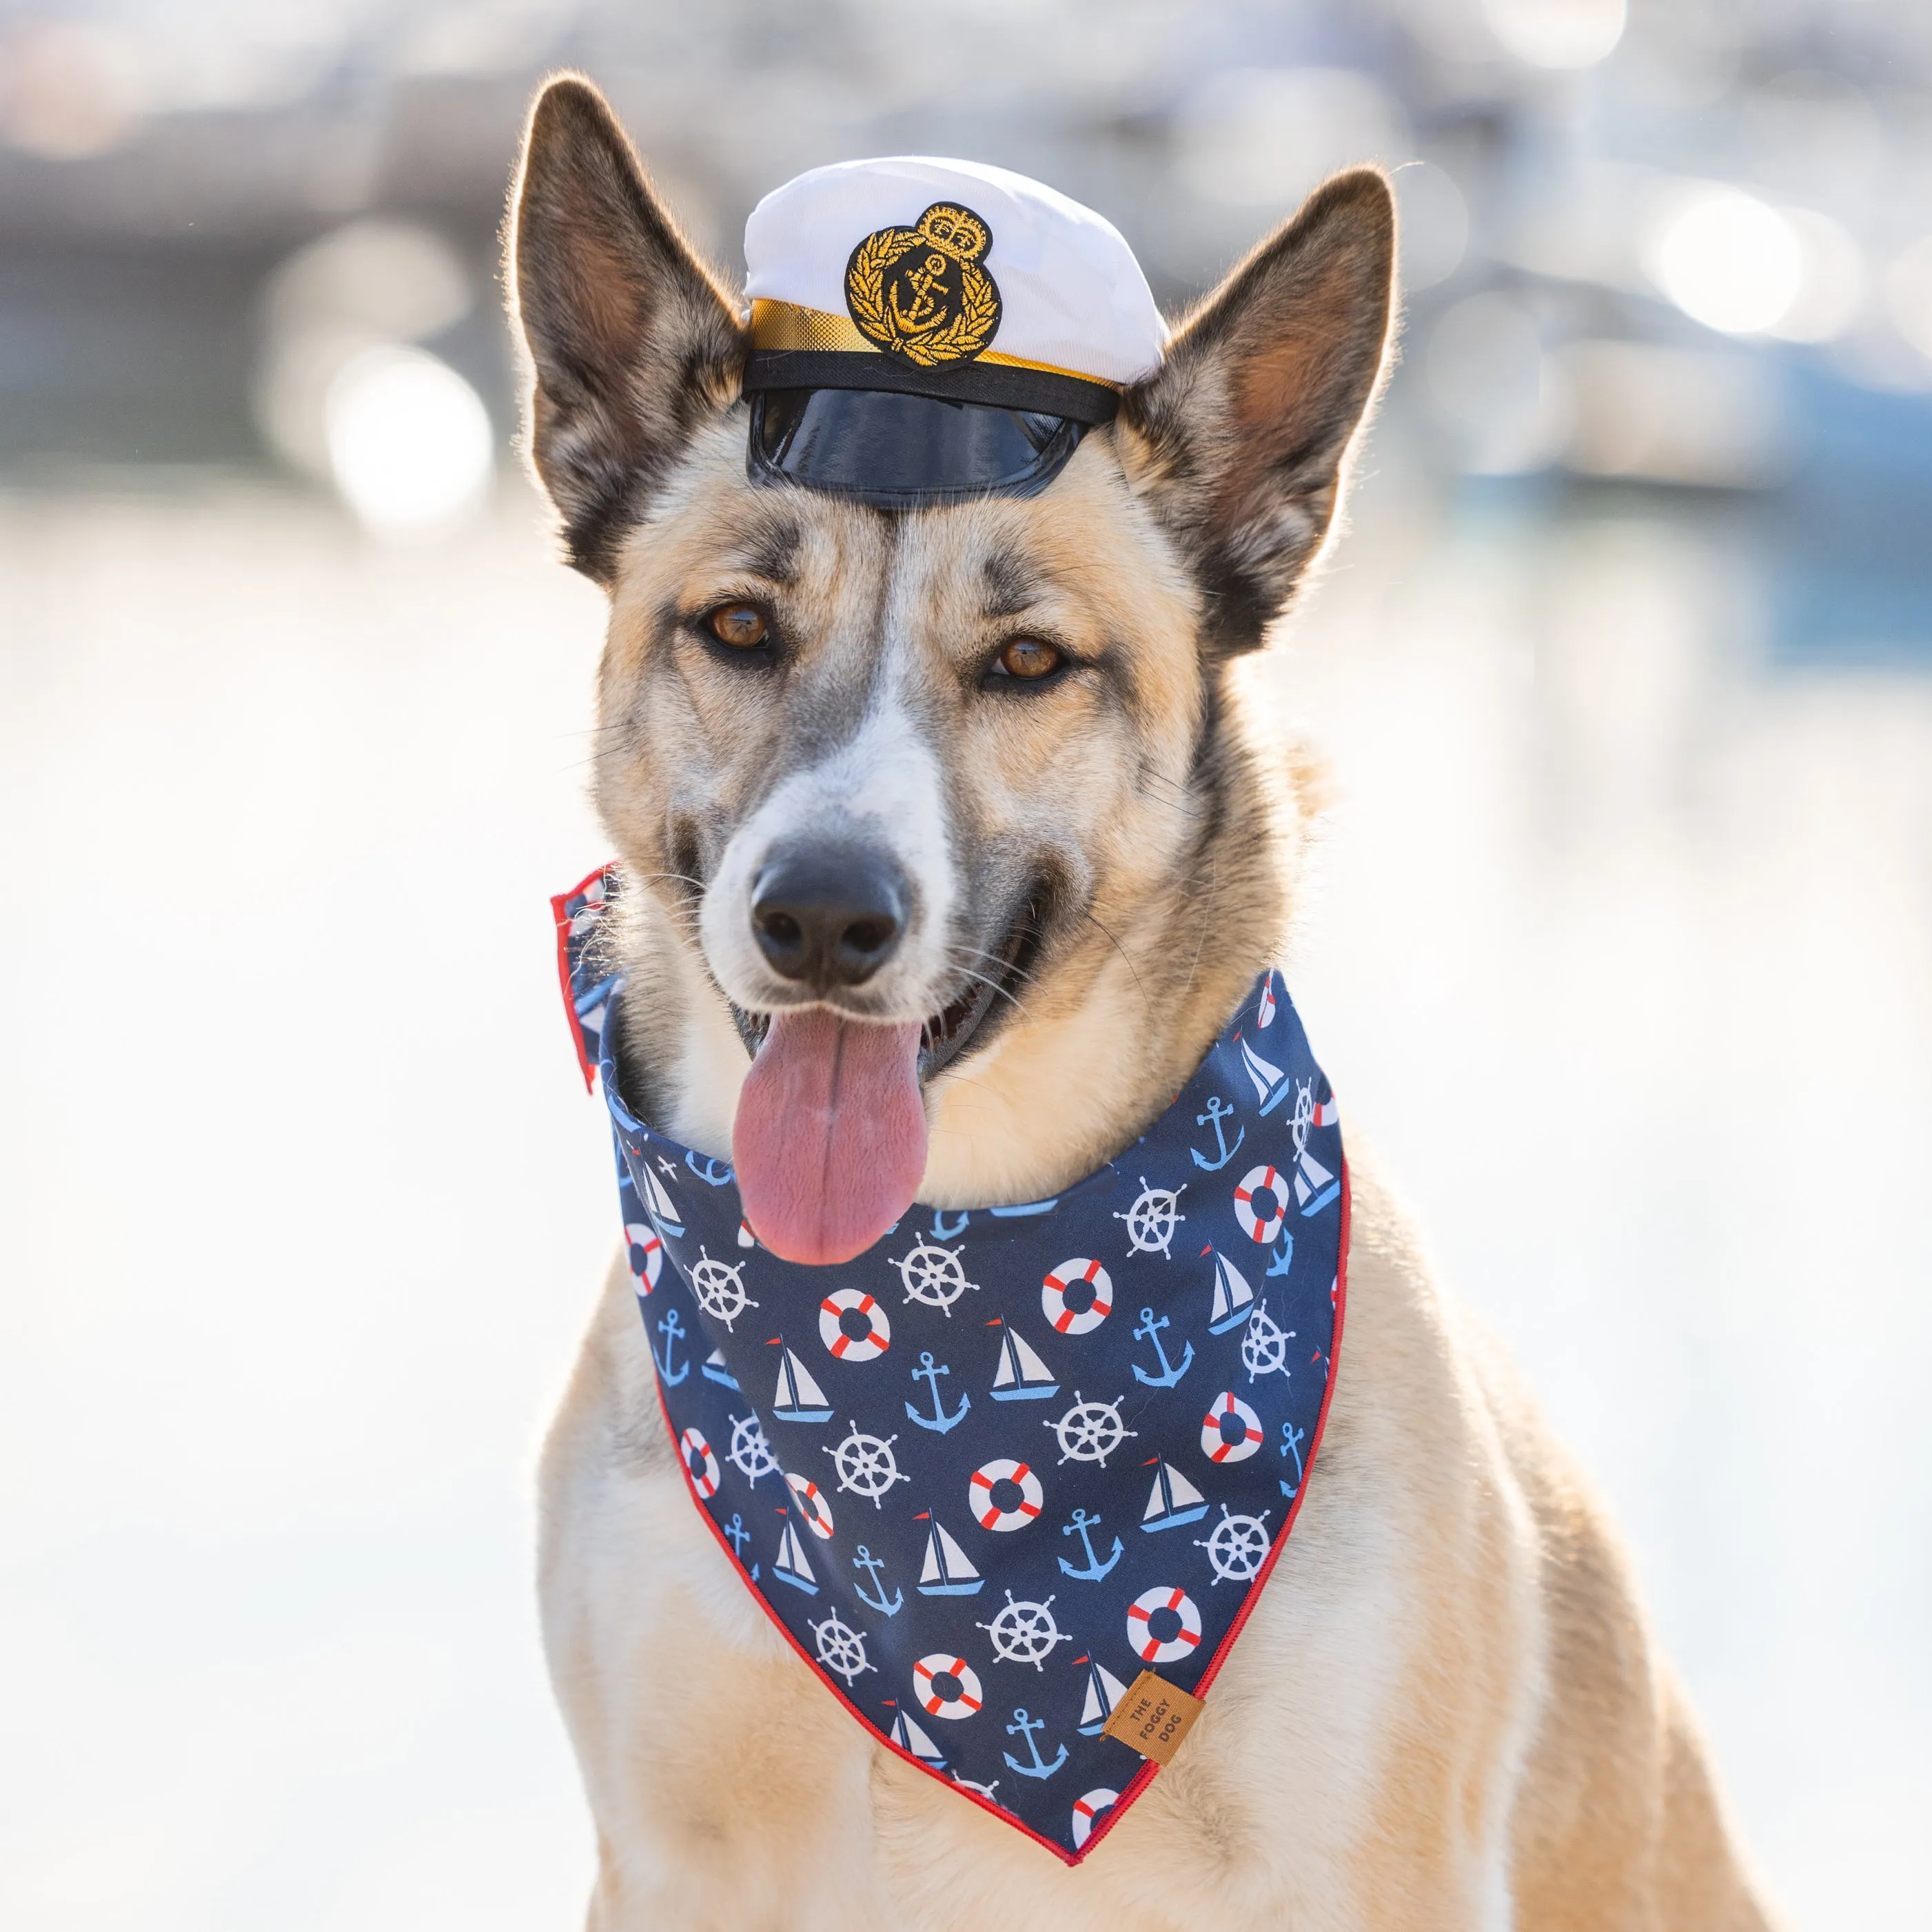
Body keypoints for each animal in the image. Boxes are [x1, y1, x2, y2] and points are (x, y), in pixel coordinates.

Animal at [513, 71, 1777, 1932]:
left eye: (1030, 663)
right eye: (737, 626)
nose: (820, 913)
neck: (944, 1265)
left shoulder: (1368, 1872)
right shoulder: (678, 1859)